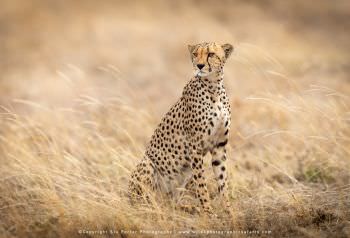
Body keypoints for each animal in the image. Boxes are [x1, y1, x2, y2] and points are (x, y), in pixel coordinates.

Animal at [127, 41, 234, 215]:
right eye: (195, 54)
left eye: (211, 54)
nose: (199, 65)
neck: (213, 87)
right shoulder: (195, 146)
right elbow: (201, 184)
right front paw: (208, 211)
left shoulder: (219, 145)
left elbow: (222, 181)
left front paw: (229, 211)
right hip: (148, 164)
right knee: (145, 202)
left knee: (172, 204)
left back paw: (189, 208)